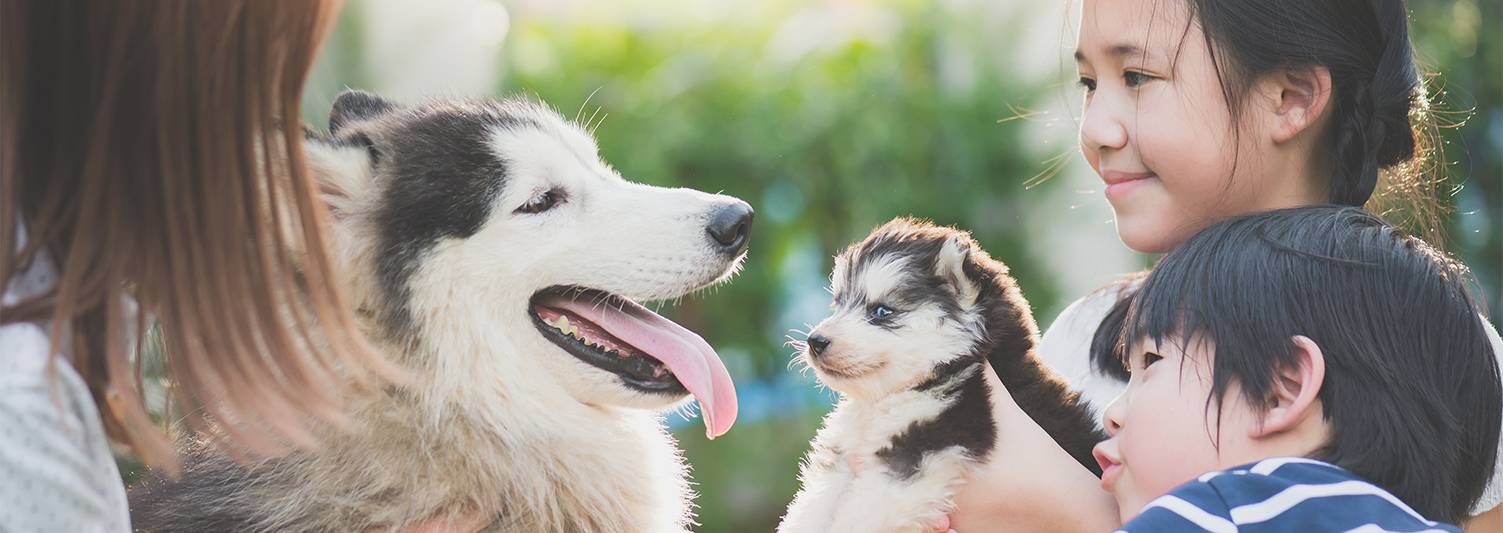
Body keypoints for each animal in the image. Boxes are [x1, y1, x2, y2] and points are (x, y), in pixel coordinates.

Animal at [781, 219, 1100, 531]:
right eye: (838, 304)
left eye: (882, 311)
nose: (815, 341)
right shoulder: (846, 455)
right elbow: (813, 507)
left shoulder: (930, 438)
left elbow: (860, 516)